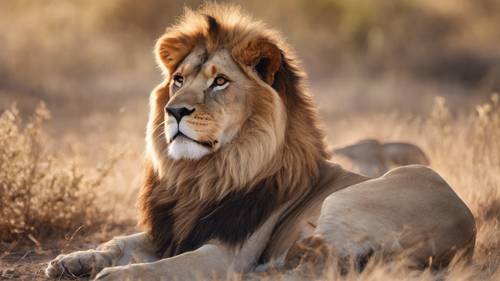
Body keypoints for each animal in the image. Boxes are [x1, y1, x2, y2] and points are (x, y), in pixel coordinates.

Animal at [46, 4, 476, 280]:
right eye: (178, 79)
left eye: (220, 82)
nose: (173, 110)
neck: (203, 175)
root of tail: (464, 236)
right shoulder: (174, 230)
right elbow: (119, 241)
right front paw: (72, 260)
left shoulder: (225, 253)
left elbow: (161, 268)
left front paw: (114, 274)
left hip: (378, 187)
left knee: (315, 260)